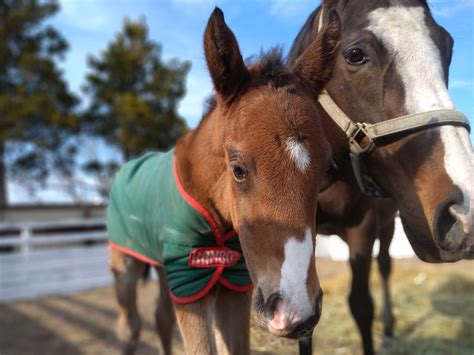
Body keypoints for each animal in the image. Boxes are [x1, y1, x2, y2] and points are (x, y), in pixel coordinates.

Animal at [286, 0, 472, 355]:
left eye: (448, 47)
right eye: (356, 54)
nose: (464, 215)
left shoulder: (363, 230)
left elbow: (362, 306)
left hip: (388, 225)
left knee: (385, 266)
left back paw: (388, 330)